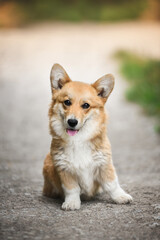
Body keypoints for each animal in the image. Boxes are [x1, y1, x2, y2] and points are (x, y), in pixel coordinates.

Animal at [42, 63, 132, 210]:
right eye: (67, 102)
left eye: (86, 105)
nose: (72, 122)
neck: (78, 140)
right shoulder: (64, 169)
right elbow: (72, 189)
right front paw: (72, 203)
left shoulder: (104, 164)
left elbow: (112, 184)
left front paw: (121, 197)